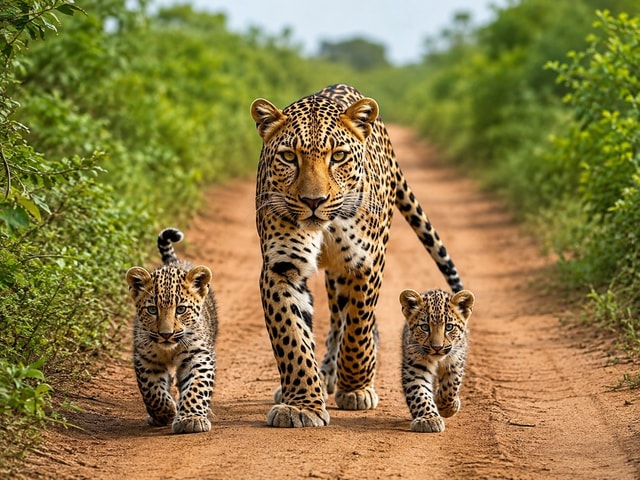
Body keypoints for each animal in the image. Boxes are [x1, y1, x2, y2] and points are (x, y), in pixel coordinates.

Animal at [125, 227, 218, 434]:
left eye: (181, 309)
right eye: (153, 310)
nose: (166, 334)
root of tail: (175, 262)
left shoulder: (199, 355)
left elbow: (197, 386)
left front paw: (191, 418)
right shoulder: (146, 357)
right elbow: (151, 389)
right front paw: (166, 411)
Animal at [250, 83, 463, 428]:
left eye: (338, 157)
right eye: (288, 156)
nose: (313, 201)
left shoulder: (366, 261)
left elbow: (358, 327)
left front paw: (355, 386)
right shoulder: (282, 266)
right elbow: (292, 337)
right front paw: (302, 405)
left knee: (349, 321)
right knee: (335, 319)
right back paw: (322, 375)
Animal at [399, 288, 475, 433]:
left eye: (449, 327)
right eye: (425, 327)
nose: (437, 347)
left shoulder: (456, 362)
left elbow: (450, 387)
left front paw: (445, 407)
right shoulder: (415, 369)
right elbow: (420, 394)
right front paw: (429, 419)